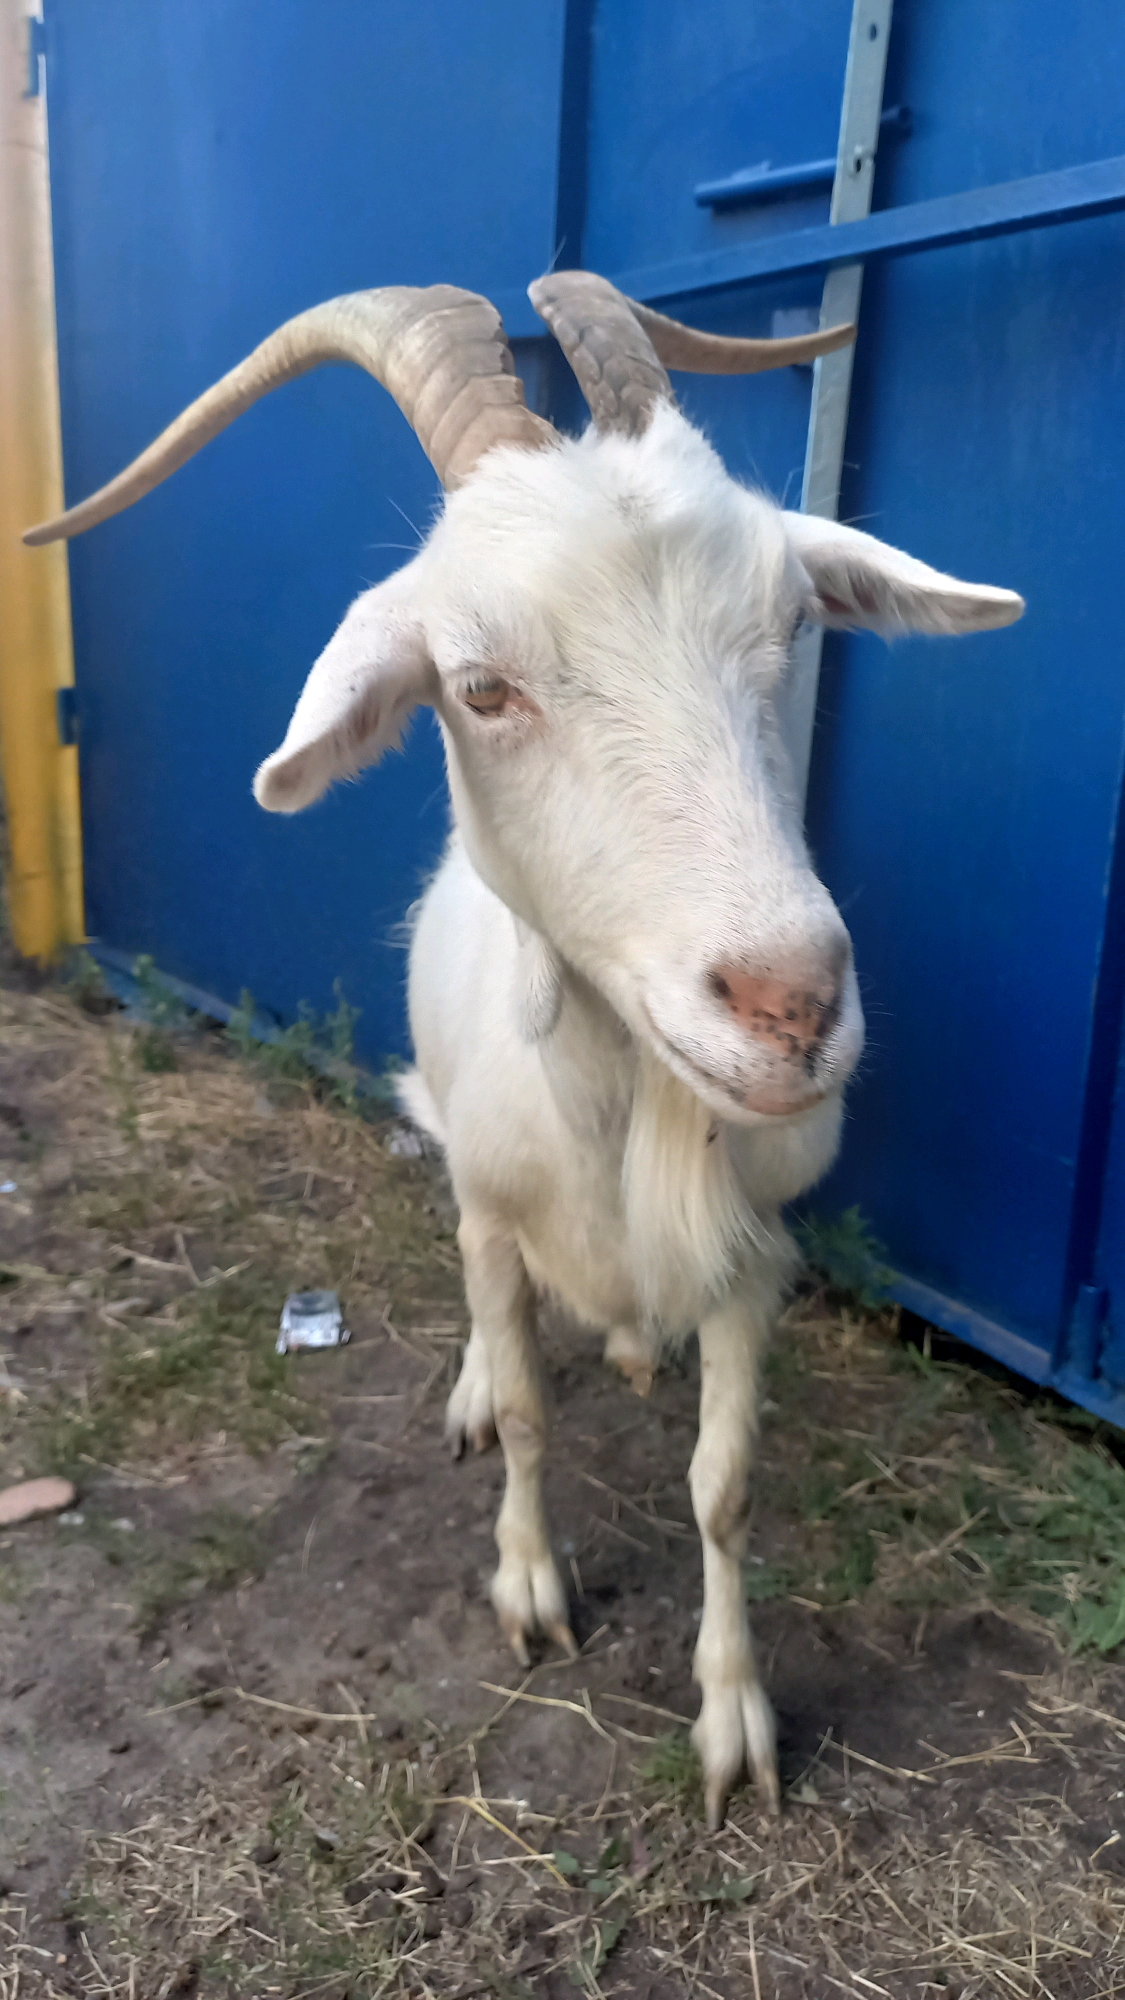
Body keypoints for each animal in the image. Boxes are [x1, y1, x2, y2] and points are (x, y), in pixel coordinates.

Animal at [27, 271, 1024, 1824]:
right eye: (481, 688)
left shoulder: (754, 1262)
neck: (611, 1110)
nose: (791, 1005)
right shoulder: (495, 1215)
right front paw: (530, 1583)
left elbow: (725, 1485)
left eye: (791, 627)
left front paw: (734, 1720)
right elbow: (536, 1413)